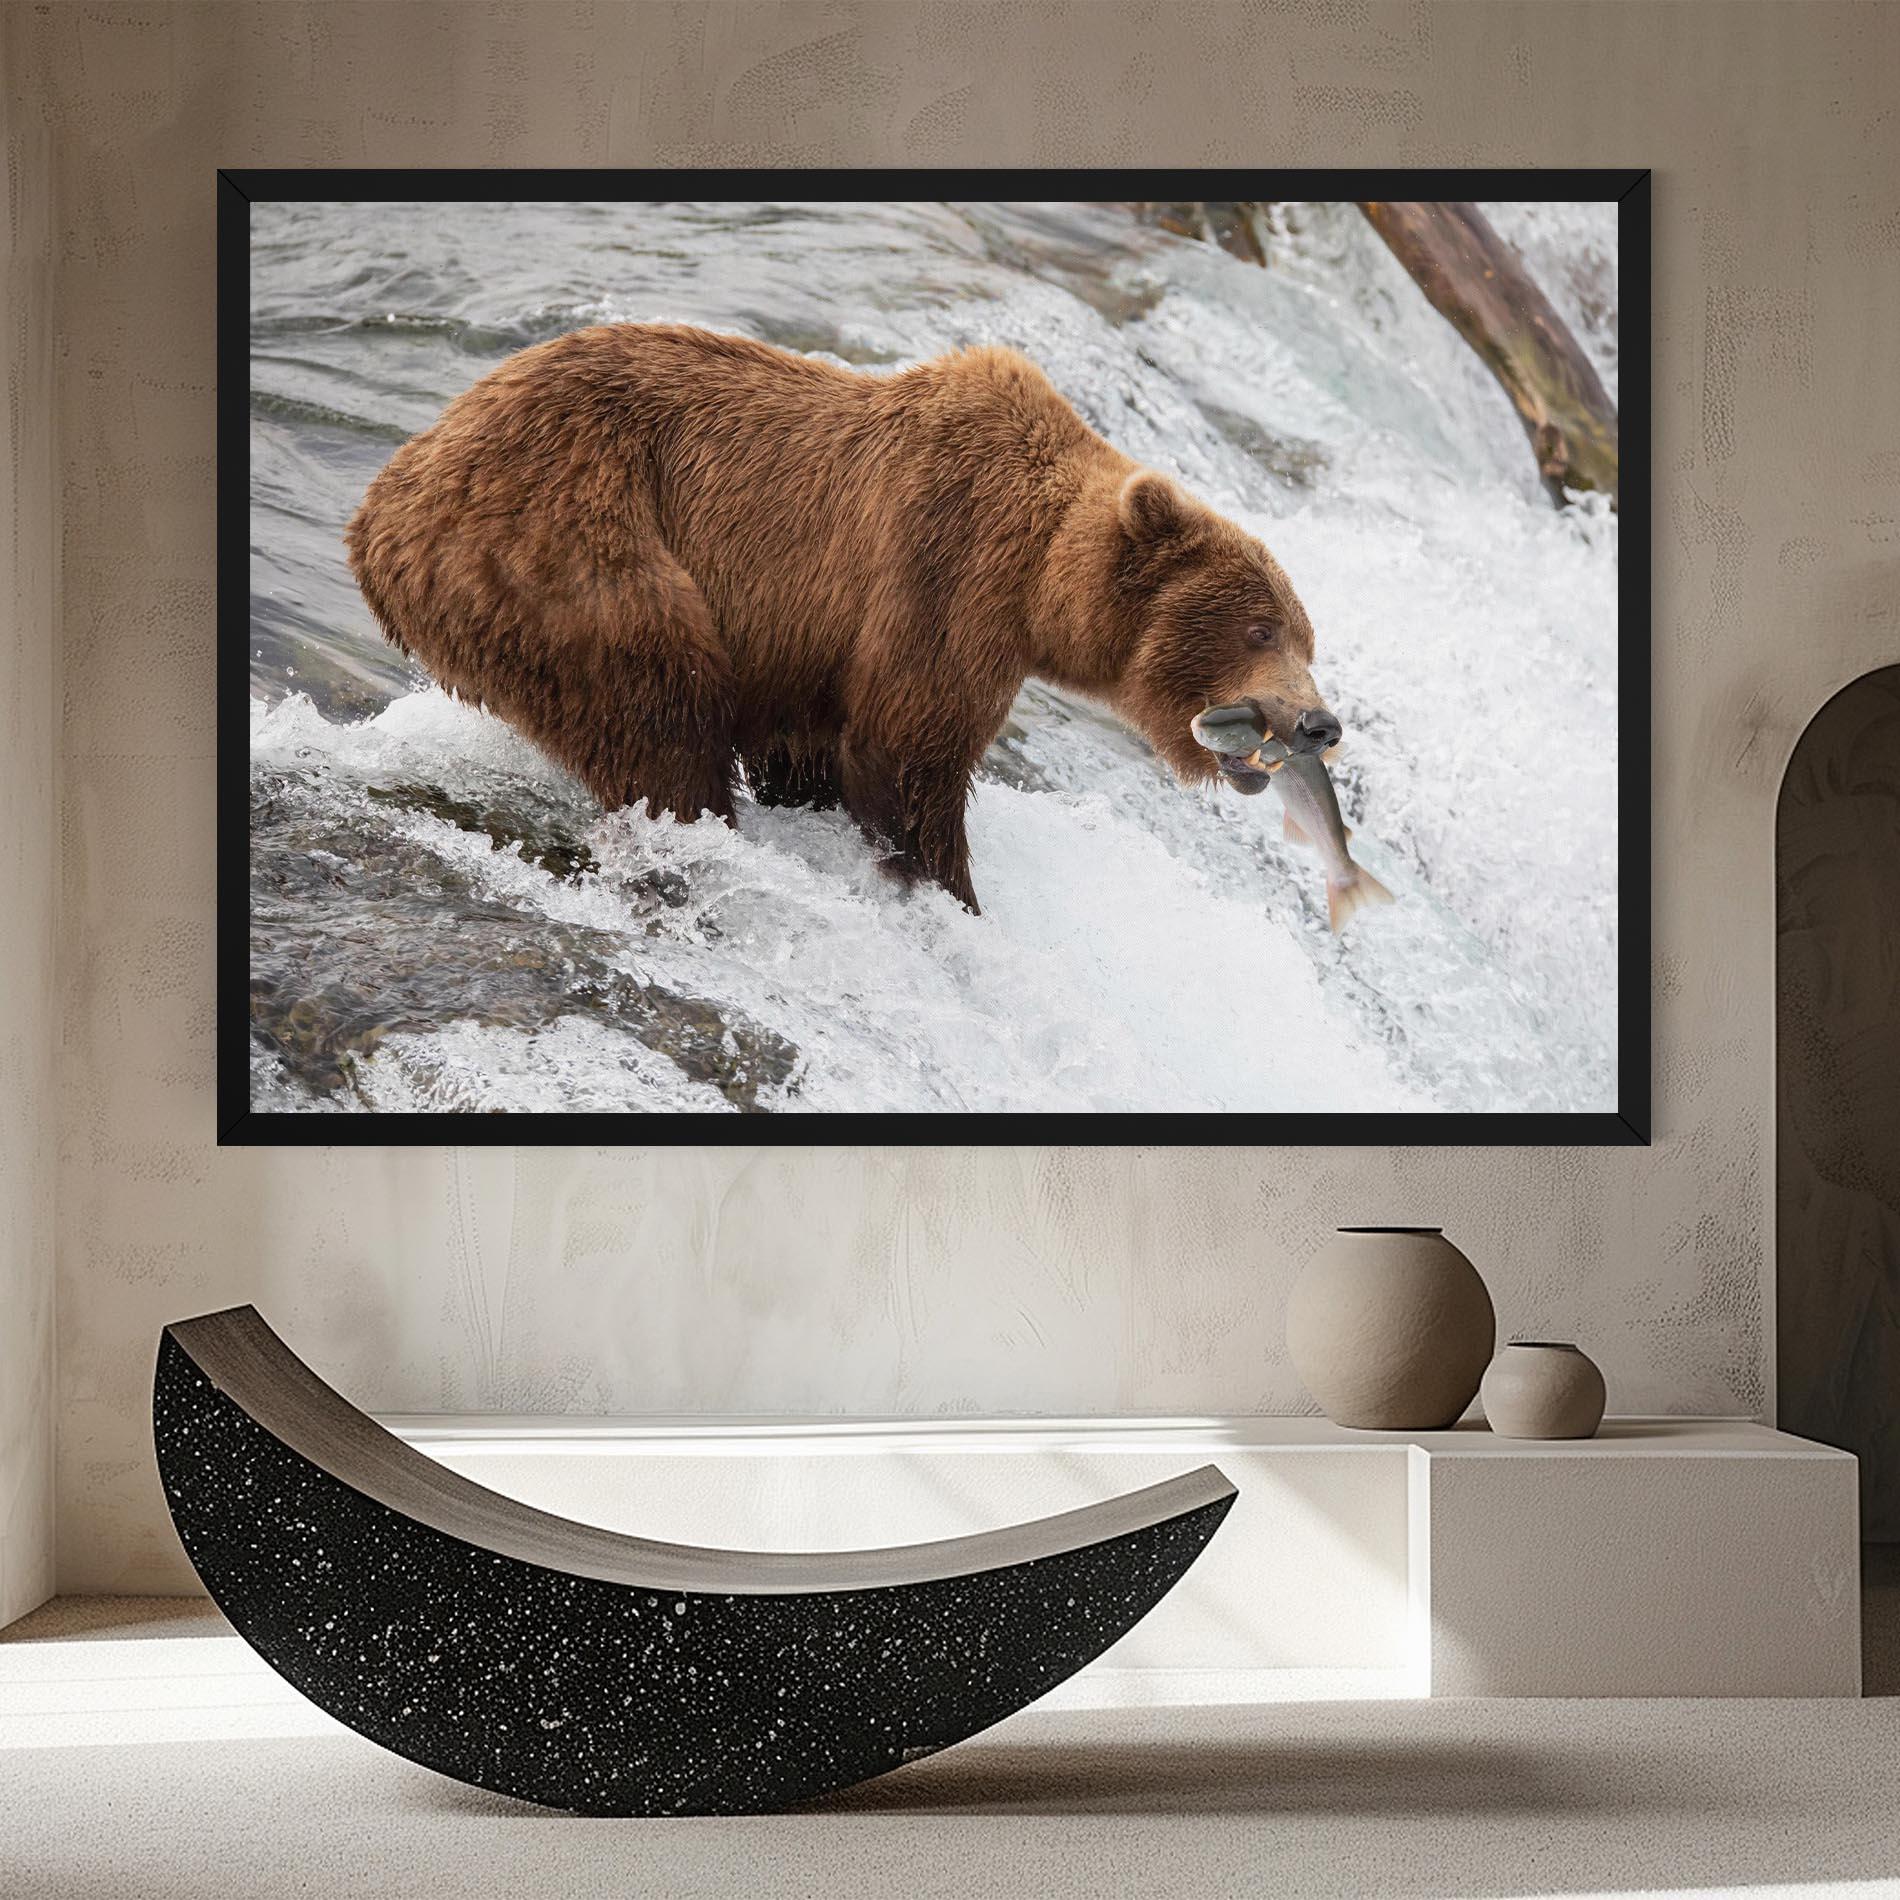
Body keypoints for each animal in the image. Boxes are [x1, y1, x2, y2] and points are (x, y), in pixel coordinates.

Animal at [345, 323, 1340, 913]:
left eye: (1307, 636)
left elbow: (813, 750)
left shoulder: (810, 650)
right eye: (1260, 629)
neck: (1039, 582)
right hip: (568, 546)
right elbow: (907, 755)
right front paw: (950, 893)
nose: (1318, 723)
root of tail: (383, 503)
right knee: (659, 712)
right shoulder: (942, 574)